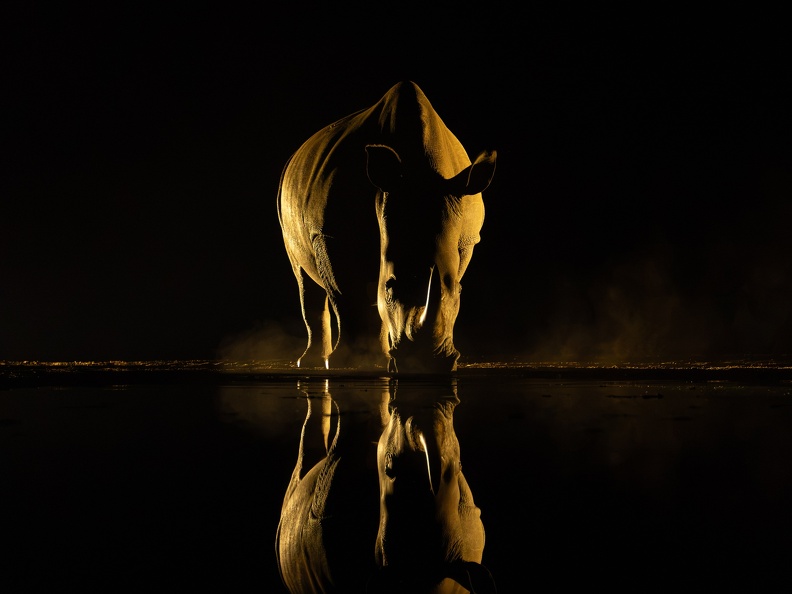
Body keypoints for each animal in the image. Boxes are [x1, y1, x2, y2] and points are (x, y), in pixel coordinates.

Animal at [277, 81, 497, 373]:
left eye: (459, 291)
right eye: (390, 286)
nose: (426, 363)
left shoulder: (466, 240)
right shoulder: (330, 235)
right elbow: (347, 295)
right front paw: (356, 362)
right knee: (302, 275)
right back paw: (311, 362)